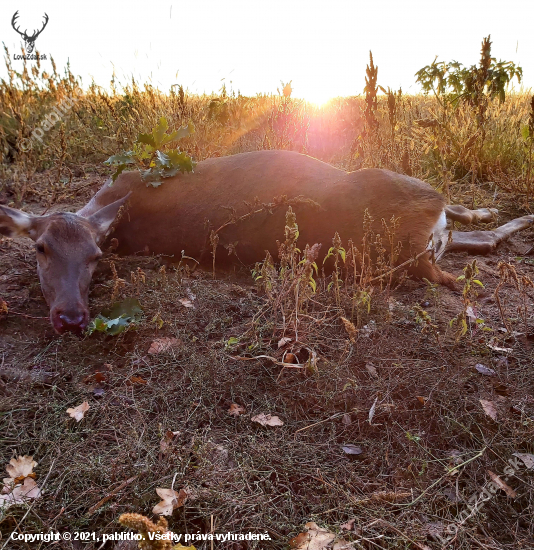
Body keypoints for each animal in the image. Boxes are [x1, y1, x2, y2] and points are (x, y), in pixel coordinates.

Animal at [1, 149, 534, 336]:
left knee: (462, 227)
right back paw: (507, 219)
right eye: (40, 249)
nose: (71, 317)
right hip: (407, 213)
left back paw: (496, 213)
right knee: (467, 241)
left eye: (94, 256)